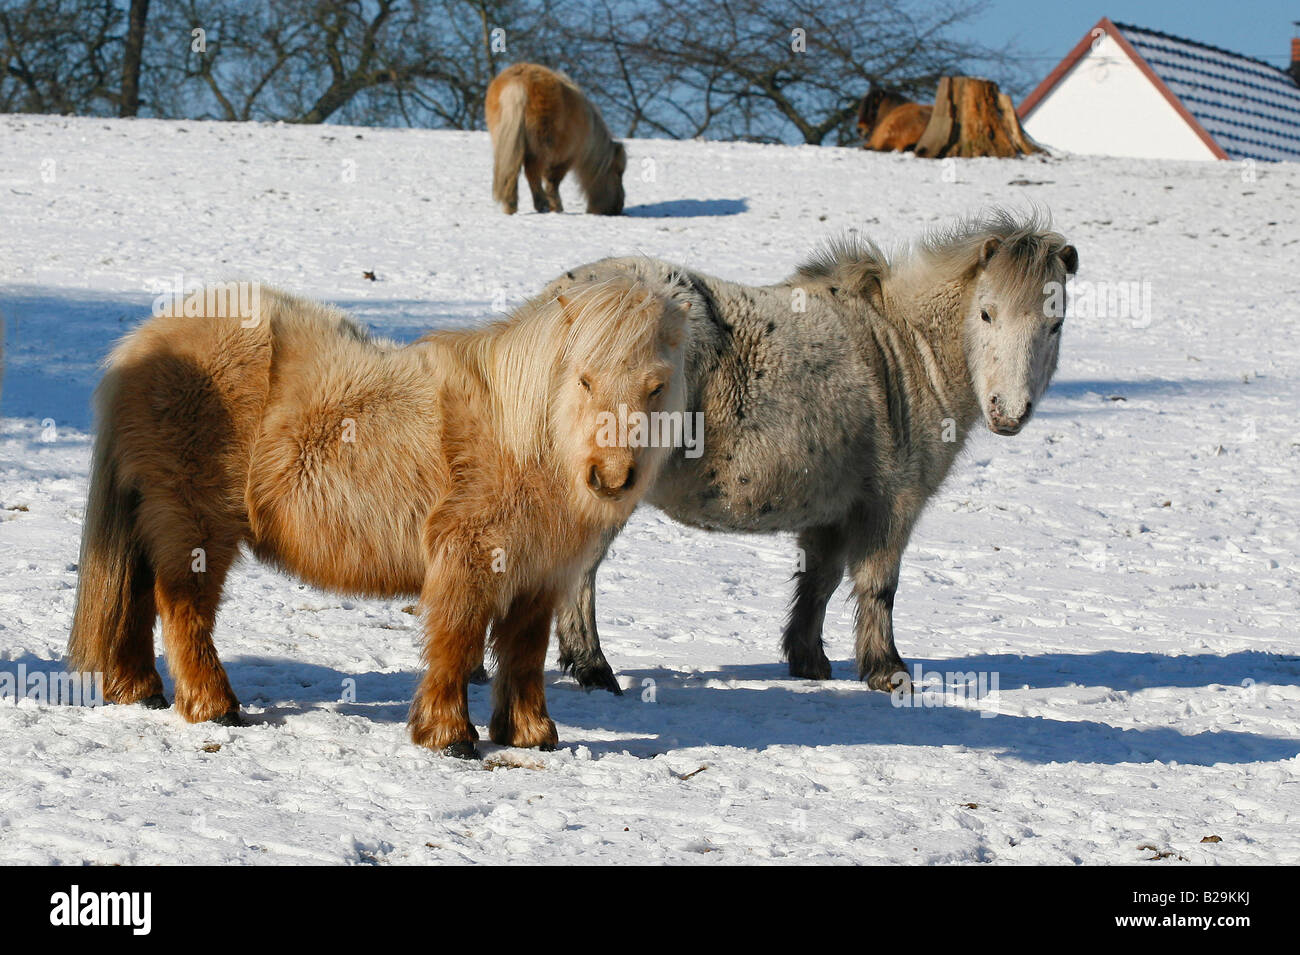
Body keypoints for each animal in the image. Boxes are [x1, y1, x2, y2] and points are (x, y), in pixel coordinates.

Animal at [68, 278, 691, 764]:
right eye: (583, 380)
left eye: (656, 386)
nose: (611, 477)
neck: (528, 438)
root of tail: (145, 342)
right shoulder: (469, 559)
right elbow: (458, 639)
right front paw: (448, 735)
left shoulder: (538, 575)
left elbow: (524, 651)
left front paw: (530, 734)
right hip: (194, 523)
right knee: (181, 607)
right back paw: (213, 706)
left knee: (137, 595)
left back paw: (138, 689)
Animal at [488, 64, 629, 216]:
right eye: (618, 173)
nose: (617, 208)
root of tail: (518, 82)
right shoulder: (566, 157)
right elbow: (553, 182)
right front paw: (556, 207)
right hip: (540, 147)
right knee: (532, 173)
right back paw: (541, 205)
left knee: (512, 173)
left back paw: (510, 206)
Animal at [538, 210, 1076, 696]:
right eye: (986, 313)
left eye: (1055, 325)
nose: (1008, 412)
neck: (904, 351)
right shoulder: (892, 504)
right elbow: (879, 584)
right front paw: (887, 671)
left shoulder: (833, 512)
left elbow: (819, 582)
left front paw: (808, 661)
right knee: (581, 570)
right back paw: (594, 668)